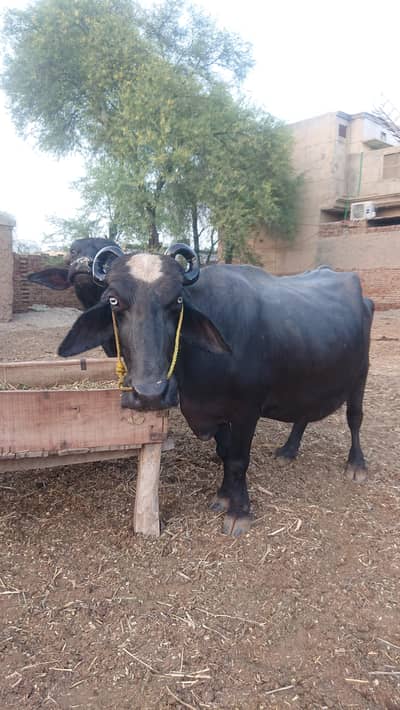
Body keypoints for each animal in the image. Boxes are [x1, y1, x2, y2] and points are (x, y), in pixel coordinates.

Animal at [58, 244, 374, 536]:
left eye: (177, 301)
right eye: (114, 301)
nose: (149, 394)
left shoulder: (247, 411)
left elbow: (238, 459)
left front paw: (239, 511)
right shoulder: (213, 410)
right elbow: (224, 452)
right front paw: (224, 496)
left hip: (361, 373)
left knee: (355, 418)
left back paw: (357, 465)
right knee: (304, 413)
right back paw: (288, 450)